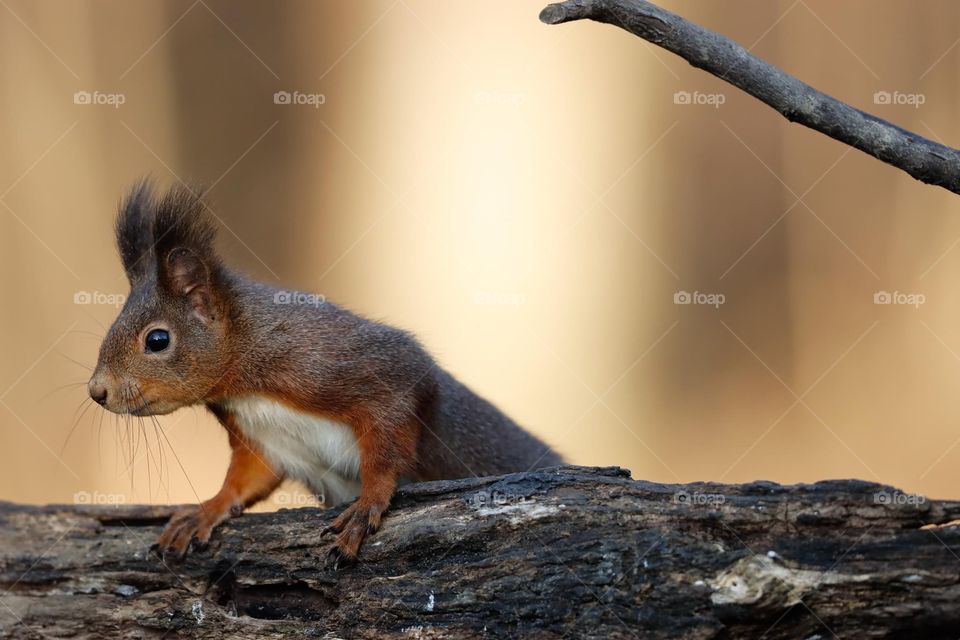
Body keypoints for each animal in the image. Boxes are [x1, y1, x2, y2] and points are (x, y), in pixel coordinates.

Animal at [87, 181, 563, 564]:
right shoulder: (261, 436)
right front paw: (207, 508)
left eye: (157, 340)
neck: (248, 377)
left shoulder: (356, 369)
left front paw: (368, 505)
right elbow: (248, 477)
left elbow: (388, 443)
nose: (97, 391)